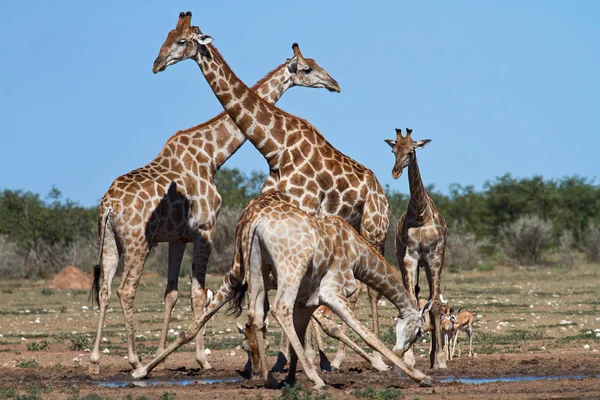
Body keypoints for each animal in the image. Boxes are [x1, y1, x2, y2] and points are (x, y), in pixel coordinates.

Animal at [89, 35, 342, 376]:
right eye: (307, 68)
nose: (334, 84)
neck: (212, 155)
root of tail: (108, 206)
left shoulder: (178, 238)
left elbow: (171, 293)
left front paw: (163, 354)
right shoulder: (204, 229)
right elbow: (198, 293)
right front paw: (201, 359)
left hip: (110, 242)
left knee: (104, 289)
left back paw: (95, 360)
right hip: (137, 241)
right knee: (125, 290)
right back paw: (133, 359)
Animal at [132, 192, 432, 390]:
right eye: (420, 332)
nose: (402, 350)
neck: (358, 255)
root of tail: (255, 222)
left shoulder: (307, 300)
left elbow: (300, 332)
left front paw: (291, 377)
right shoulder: (332, 292)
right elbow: (364, 332)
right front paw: (417, 376)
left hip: (253, 268)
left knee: (252, 315)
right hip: (289, 269)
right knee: (277, 309)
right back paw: (317, 381)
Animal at [152, 10, 392, 368]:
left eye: (182, 41)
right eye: (168, 37)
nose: (157, 64)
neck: (275, 147)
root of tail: (382, 192)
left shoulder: (301, 210)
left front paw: (299, 358)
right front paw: (285, 359)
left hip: (374, 228)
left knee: (372, 286)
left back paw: (377, 357)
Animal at [384, 127, 446, 368]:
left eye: (411, 151)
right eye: (394, 151)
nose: (395, 172)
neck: (420, 213)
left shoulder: (434, 257)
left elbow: (435, 304)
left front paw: (440, 360)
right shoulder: (409, 258)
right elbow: (411, 301)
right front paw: (409, 358)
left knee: (431, 300)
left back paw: (434, 357)